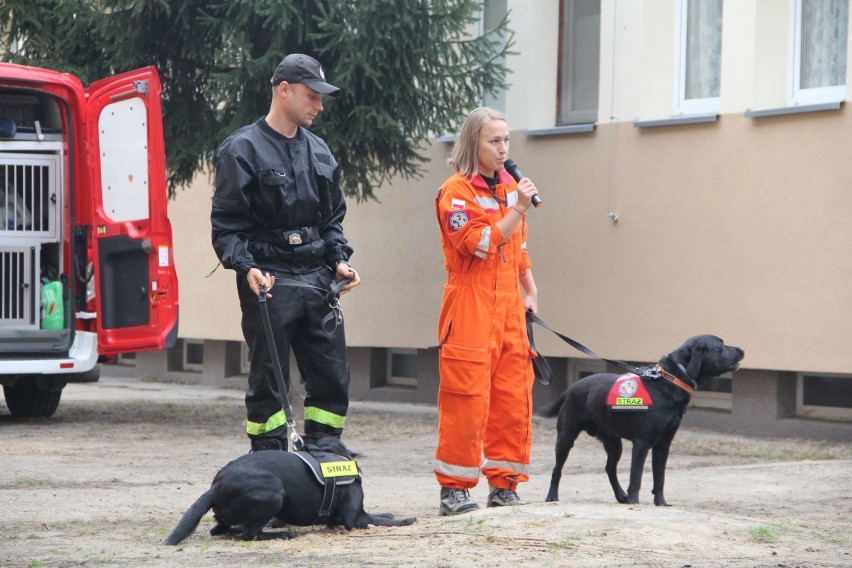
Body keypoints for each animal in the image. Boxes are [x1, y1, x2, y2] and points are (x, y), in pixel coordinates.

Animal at [164, 434, 416, 544]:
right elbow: (381, 520)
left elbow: (381, 514)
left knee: (222, 530)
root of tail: (216, 486)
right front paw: (406, 520)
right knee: (247, 533)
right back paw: (282, 534)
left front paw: (390, 513)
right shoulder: (354, 519)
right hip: (274, 493)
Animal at [544, 332, 744, 506]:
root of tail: (572, 387)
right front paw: (634, 502)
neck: (671, 380)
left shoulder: (663, 444)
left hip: (613, 442)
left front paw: (661, 503)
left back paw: (620, 495)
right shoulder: (642, 443)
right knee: (556, 469)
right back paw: (552, 496)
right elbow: (636, 477)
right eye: (721, 346)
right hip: (566, 437)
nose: (742, 348)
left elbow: (660, 478)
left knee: (609, 468)